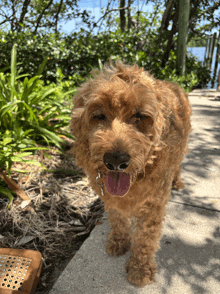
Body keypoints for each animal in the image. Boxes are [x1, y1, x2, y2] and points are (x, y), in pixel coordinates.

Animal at [70, 60, 191, 288]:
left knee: (178, 165)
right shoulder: (110, 198)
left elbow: (145, 238)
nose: (116, 161)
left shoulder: (153, 205)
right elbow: (118, 219)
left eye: (140, 116)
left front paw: (140, 269)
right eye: (98, 115)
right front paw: (118, 241)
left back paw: (177, 182)